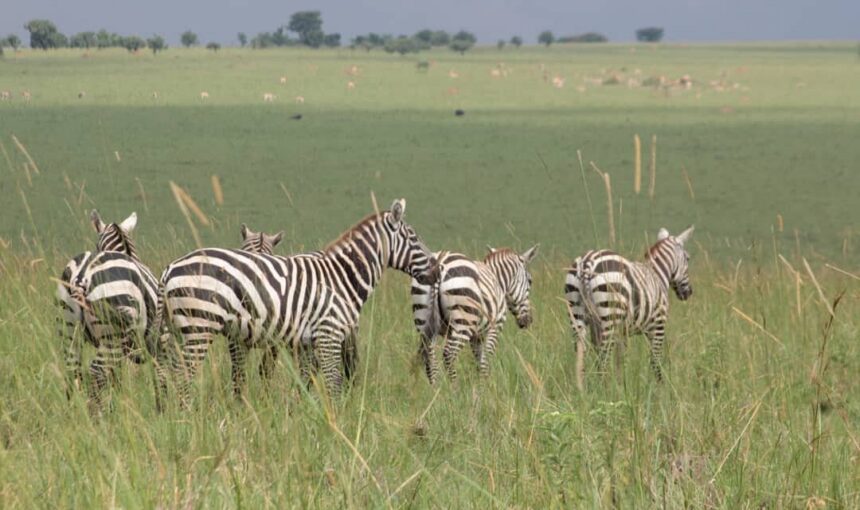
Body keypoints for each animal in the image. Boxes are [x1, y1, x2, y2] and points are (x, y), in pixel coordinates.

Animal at [58, 209, 160, 408]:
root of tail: (83, 276)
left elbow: (116, 378)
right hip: (111, 338)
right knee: (96, 373)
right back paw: (97, 413)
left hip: (70, 331)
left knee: (72, 371)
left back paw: (72, 411)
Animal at [160, 197, 436, 404]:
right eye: (414, 239)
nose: (435, 270)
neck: (341, 276)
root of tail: (170, 268)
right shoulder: (328, 335)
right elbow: (333, 384)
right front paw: (334, 426)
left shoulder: (306, 344)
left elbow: (305, 384)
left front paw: (303, 418)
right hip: (199, 326)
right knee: (183, 375)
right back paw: (186, 419)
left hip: (175, 331)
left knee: (167, 372)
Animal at [410, 245, 536, 384]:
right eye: (530, 281)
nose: (528, 321)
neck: (498, 280)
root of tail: (439, 261)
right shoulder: (495, 326)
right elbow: (486, 360)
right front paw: (486, 386)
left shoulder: (476, 336)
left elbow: (480, 363)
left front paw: (480, 385)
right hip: (463, 323)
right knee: (449, 355)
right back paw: (455, 388)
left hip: (424, 321)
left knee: (430, 358)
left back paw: (436, 389)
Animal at [564, 225, 692, 388]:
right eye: (688, 258)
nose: (688, 293)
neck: (657, 274)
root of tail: (588, 260)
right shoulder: (658, 325)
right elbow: (655, 360)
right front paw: (660, 388)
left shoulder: (622, 332)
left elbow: (621, 361)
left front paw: (622, 386)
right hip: (610, 315)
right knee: (603, 358)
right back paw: (604, 389)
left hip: (577, 313)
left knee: (581, 356)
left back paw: (582, 390)